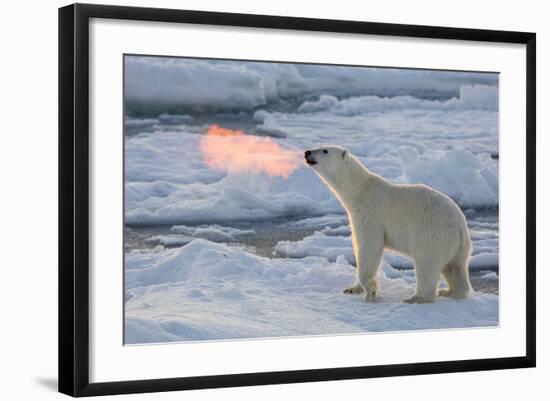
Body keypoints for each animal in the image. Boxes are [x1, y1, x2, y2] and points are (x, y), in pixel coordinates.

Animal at [306, 146, 474, 304]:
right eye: (318, 146)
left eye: (325, 150)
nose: (307, 152)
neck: (360, 189)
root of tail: (460, 226)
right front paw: (351, 289)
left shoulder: (370, 212)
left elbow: (369, 246)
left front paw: (371, 292)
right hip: (457, 246)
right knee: (454, 267)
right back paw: (450, 291)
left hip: (432, 233)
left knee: (427, 263)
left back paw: (415, 298)